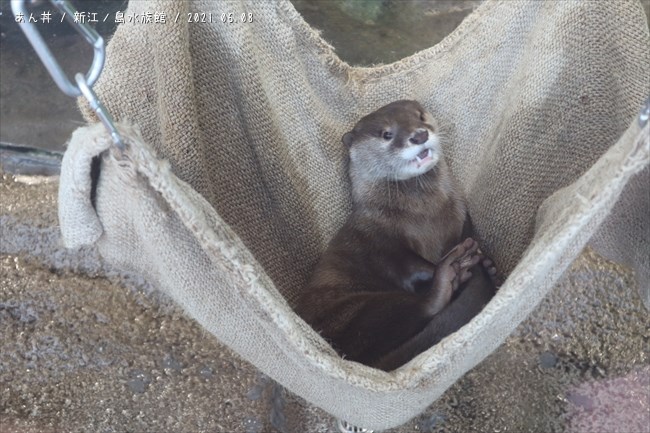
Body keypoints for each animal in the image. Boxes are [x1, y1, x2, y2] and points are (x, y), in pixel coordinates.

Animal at [294, 99, 496, 370]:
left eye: (421, 117)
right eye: (386, 134)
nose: (420, 135)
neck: (425, 215)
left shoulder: (462, 216)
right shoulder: (377, 239)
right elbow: (405, 265)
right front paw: (458, 262)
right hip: (353, 311)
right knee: (417, 308)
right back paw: (449, 276)